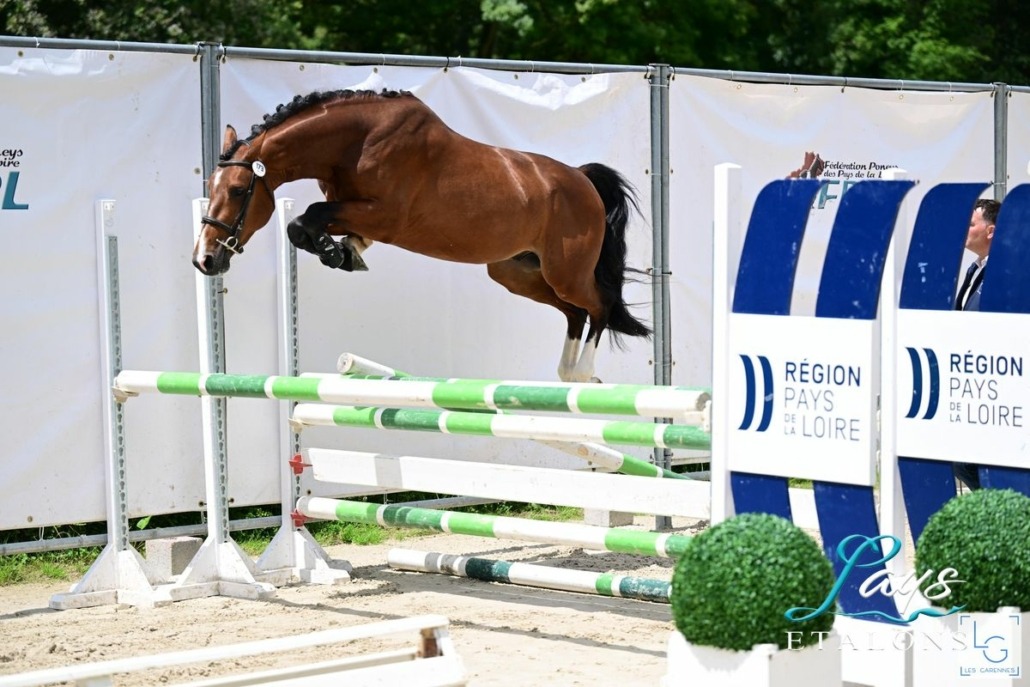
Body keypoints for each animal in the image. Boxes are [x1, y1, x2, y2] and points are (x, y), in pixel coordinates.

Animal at [193, 89, 651, 382]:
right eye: (211, 187)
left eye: (239, 190)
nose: (205, 260)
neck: (355, 142)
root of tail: (582, 179)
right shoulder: (354, 211)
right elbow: (306, 225)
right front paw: (345, 253)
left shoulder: (385, 216)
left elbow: (306, 220)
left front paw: (336, 252)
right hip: (516, 273)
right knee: (575, 313)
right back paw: (569, 374)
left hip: (565, 271)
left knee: (599, 305)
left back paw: (583, 372)